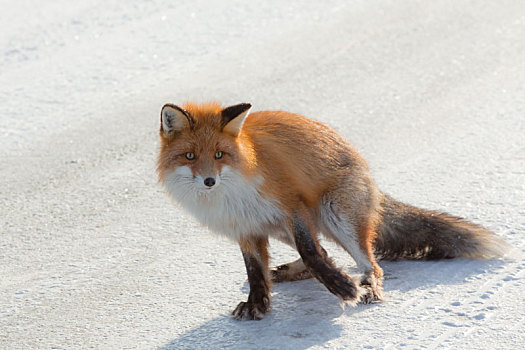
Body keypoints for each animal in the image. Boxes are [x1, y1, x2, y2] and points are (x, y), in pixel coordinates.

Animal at [155, 100, 508, 320]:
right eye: (189, 156)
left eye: (219, 154)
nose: (209, 181)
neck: (232, 194)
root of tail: (370, 177)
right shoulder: (244, 228)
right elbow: (255, 271)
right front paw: (259, 305)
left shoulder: (292, 204)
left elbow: (310, 251)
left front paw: (342, 287)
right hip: (287, 226)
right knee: (326, 251)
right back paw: (293, 273)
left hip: (333, 212)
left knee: (369, 264)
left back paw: (365, 286)